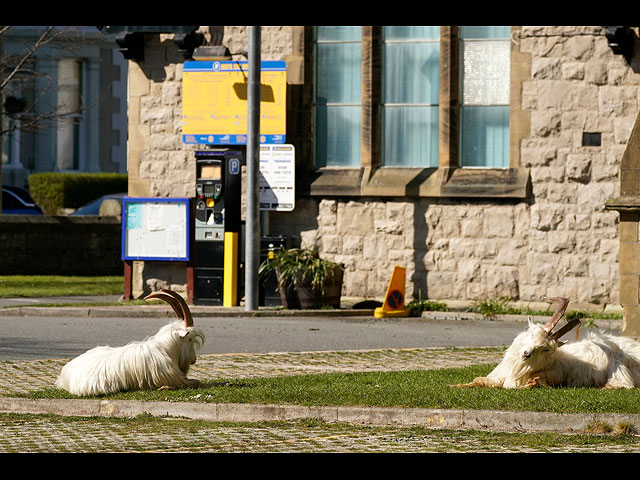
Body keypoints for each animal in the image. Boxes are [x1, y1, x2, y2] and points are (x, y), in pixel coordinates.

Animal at [56, 288, 205, 398]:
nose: (194, 360)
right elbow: (196, 382)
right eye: (190, 339)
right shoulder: (175, 378)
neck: (165, 348)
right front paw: (164, 387)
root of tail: (65, 375)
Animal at [450, 296, 640, 390]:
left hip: (619, 368)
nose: (526, 353)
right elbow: (478, 380)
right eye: (532, 334)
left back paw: (604, 387)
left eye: (545, 349)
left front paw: (529, 385)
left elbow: (534, 383)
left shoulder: (553, 375)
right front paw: (454, 385)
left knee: (625, 385)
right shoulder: (499, 375)